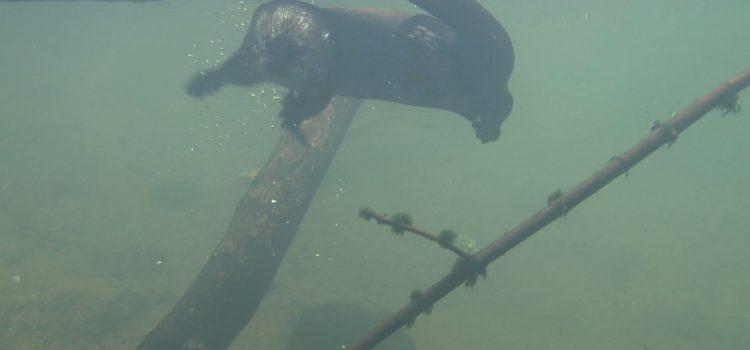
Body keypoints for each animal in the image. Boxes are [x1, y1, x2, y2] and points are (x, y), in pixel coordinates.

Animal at [188, 0, 516, 144]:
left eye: (299, 48)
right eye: (267, 40)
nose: (279, 60)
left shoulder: (324, 69)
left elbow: (319, 98)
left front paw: (291, 110)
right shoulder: (250, 61)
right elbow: (233, 71)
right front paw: (201, 82)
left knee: (503, 100)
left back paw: (425, 41)